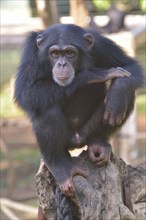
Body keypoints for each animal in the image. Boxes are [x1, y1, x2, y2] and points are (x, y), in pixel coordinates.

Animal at [14, 23, 143, 196]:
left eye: (70, 53)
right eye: (55, 53)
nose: (62, 64)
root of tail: (77, 141)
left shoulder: (101, 43)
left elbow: (130, 66)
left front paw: (118, 92)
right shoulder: (31, 53)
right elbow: (26, 91)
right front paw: (94, 74)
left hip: (86, 132)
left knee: (126, 94)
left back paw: (99, 142)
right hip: (66, 141)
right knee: (46, 108)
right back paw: (59, 165)